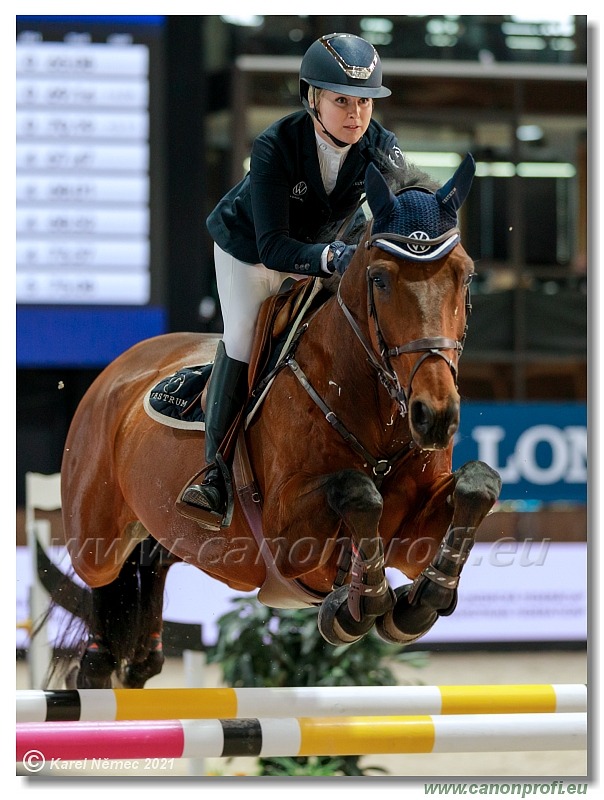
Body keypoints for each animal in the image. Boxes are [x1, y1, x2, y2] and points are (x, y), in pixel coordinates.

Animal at [56, 155, 502, 688]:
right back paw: (100, 661)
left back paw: (143, 656)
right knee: (105, 580)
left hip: (163, 526)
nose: (434, 416)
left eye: (465, 276)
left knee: (154, 559)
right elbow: (356, 491)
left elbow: (478, 486)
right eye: (379, 279)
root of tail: (117, 372)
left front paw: (422, 599)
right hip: (96, 538)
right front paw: (358, 606)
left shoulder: (413, 533)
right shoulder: (288, 537)